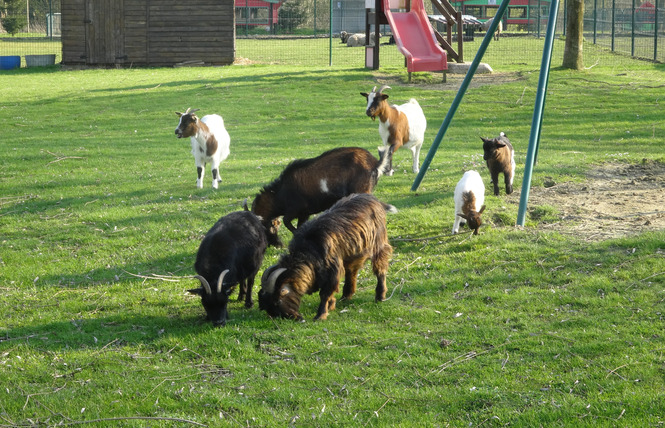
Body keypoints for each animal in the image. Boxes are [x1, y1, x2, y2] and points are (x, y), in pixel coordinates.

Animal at [250, 147, 384, 247]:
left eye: (266, 227)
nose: (277, 244)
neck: (279, 194)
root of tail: (374, 163)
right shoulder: (304, 213)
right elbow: (299, 225)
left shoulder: (295, 209)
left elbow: (287, 221)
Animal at [256, 194, 394, 320]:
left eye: (277, 301)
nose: (297, 318)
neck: (309, 248)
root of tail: (375, 200)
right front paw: (331, 305)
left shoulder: (332, 268)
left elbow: (325, 293)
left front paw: (320, 315)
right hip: (353, 253)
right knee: (352, 272)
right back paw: (345, 297)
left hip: (378, 245)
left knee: (380, 269)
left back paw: (380, 296)